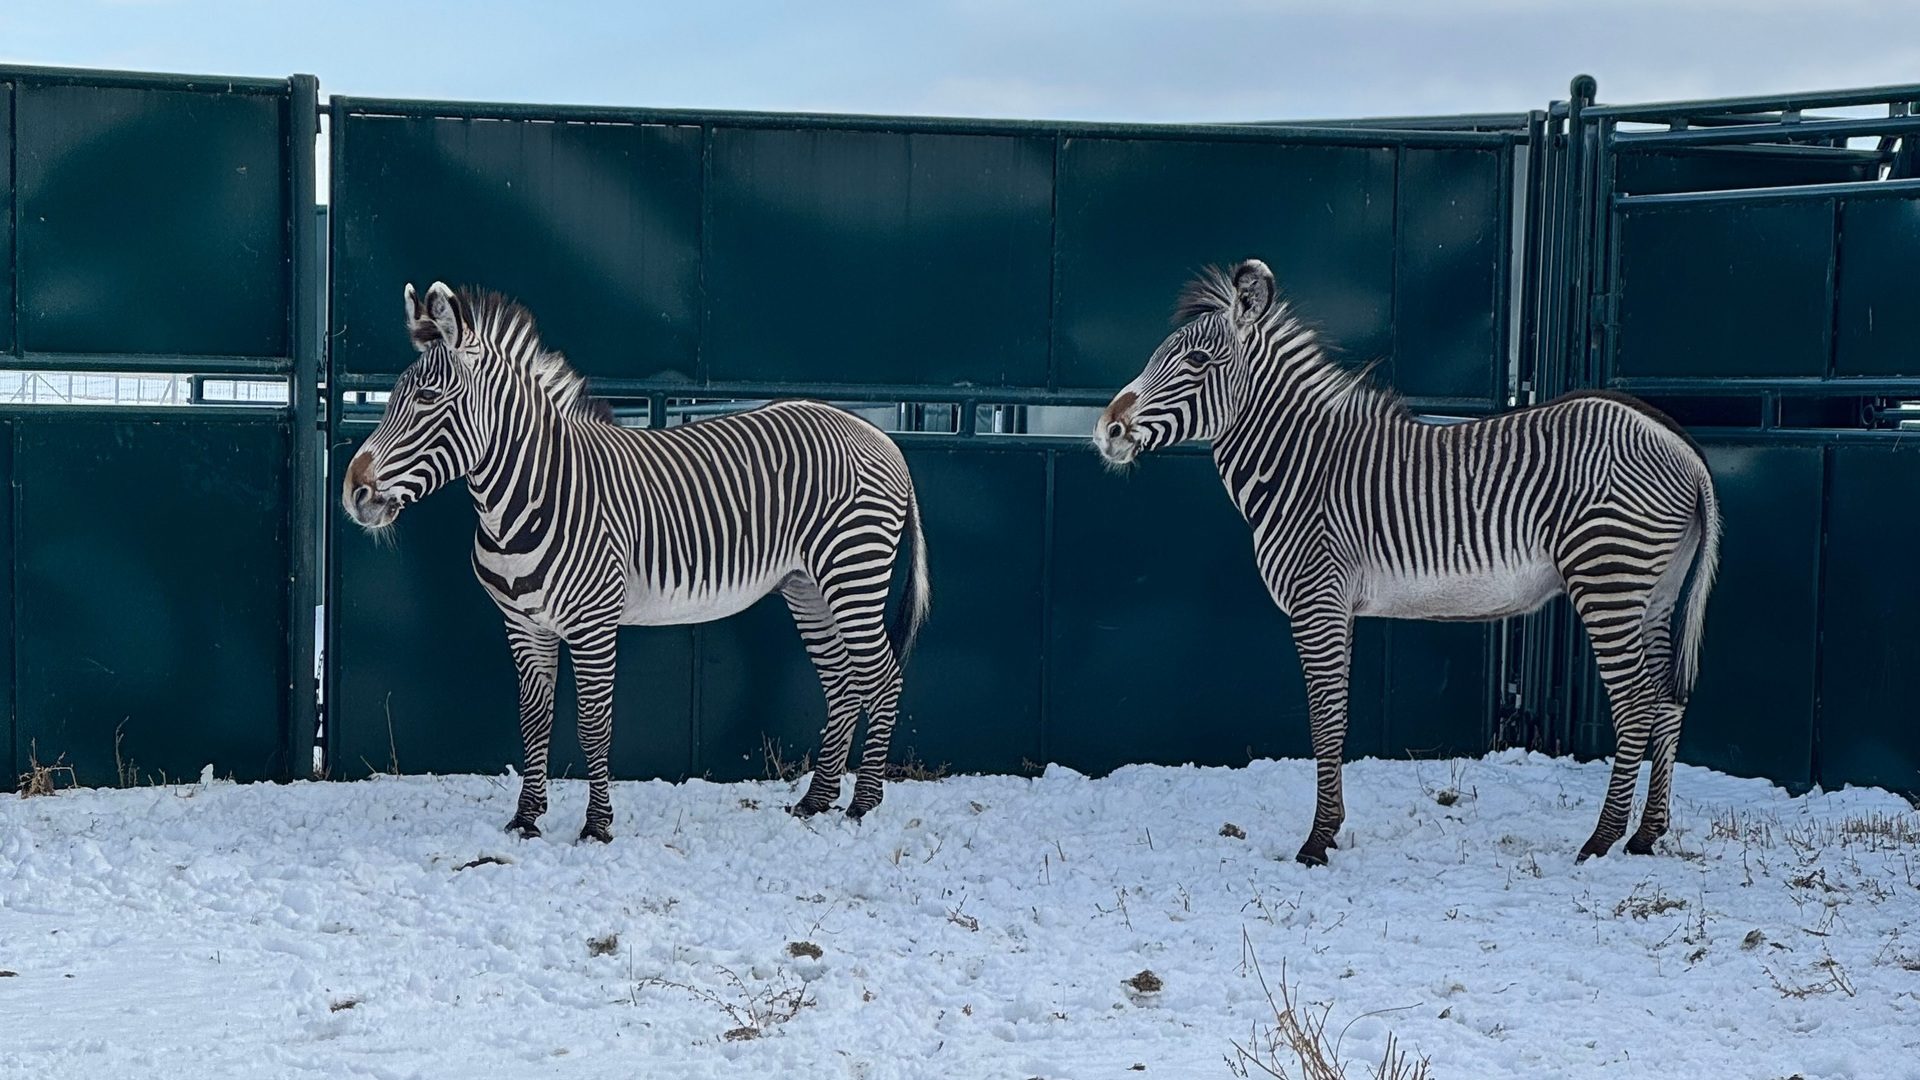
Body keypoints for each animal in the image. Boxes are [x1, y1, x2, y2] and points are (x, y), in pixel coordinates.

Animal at [342, 282, 930, 841]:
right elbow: (534, 720)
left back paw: (861, 805)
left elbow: (593, 724)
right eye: (391, 397)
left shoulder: (593, 622)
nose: (354, 493)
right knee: (843, 682)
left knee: (882, 677)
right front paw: (526, 819)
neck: (529, 496)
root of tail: (880, 437)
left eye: (427, 398)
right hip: (808, 585)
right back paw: (816, 800)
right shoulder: (524, 625)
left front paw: (597, 826)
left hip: (852, 572)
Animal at [1094, 260, 1720, 866]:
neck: (1299, 468)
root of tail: (1681, 444)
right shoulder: (1338, 606)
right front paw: (1331, 830)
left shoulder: (1317, 600)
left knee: (1636, 702)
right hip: (1655, 592)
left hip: (1608, 576)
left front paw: (1316, 842)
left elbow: (1325, 716)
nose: (1106, 431)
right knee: (1667, 698)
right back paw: (1646, 835)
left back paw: (1600, 840)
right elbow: (1339, 715)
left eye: (1196, 361)